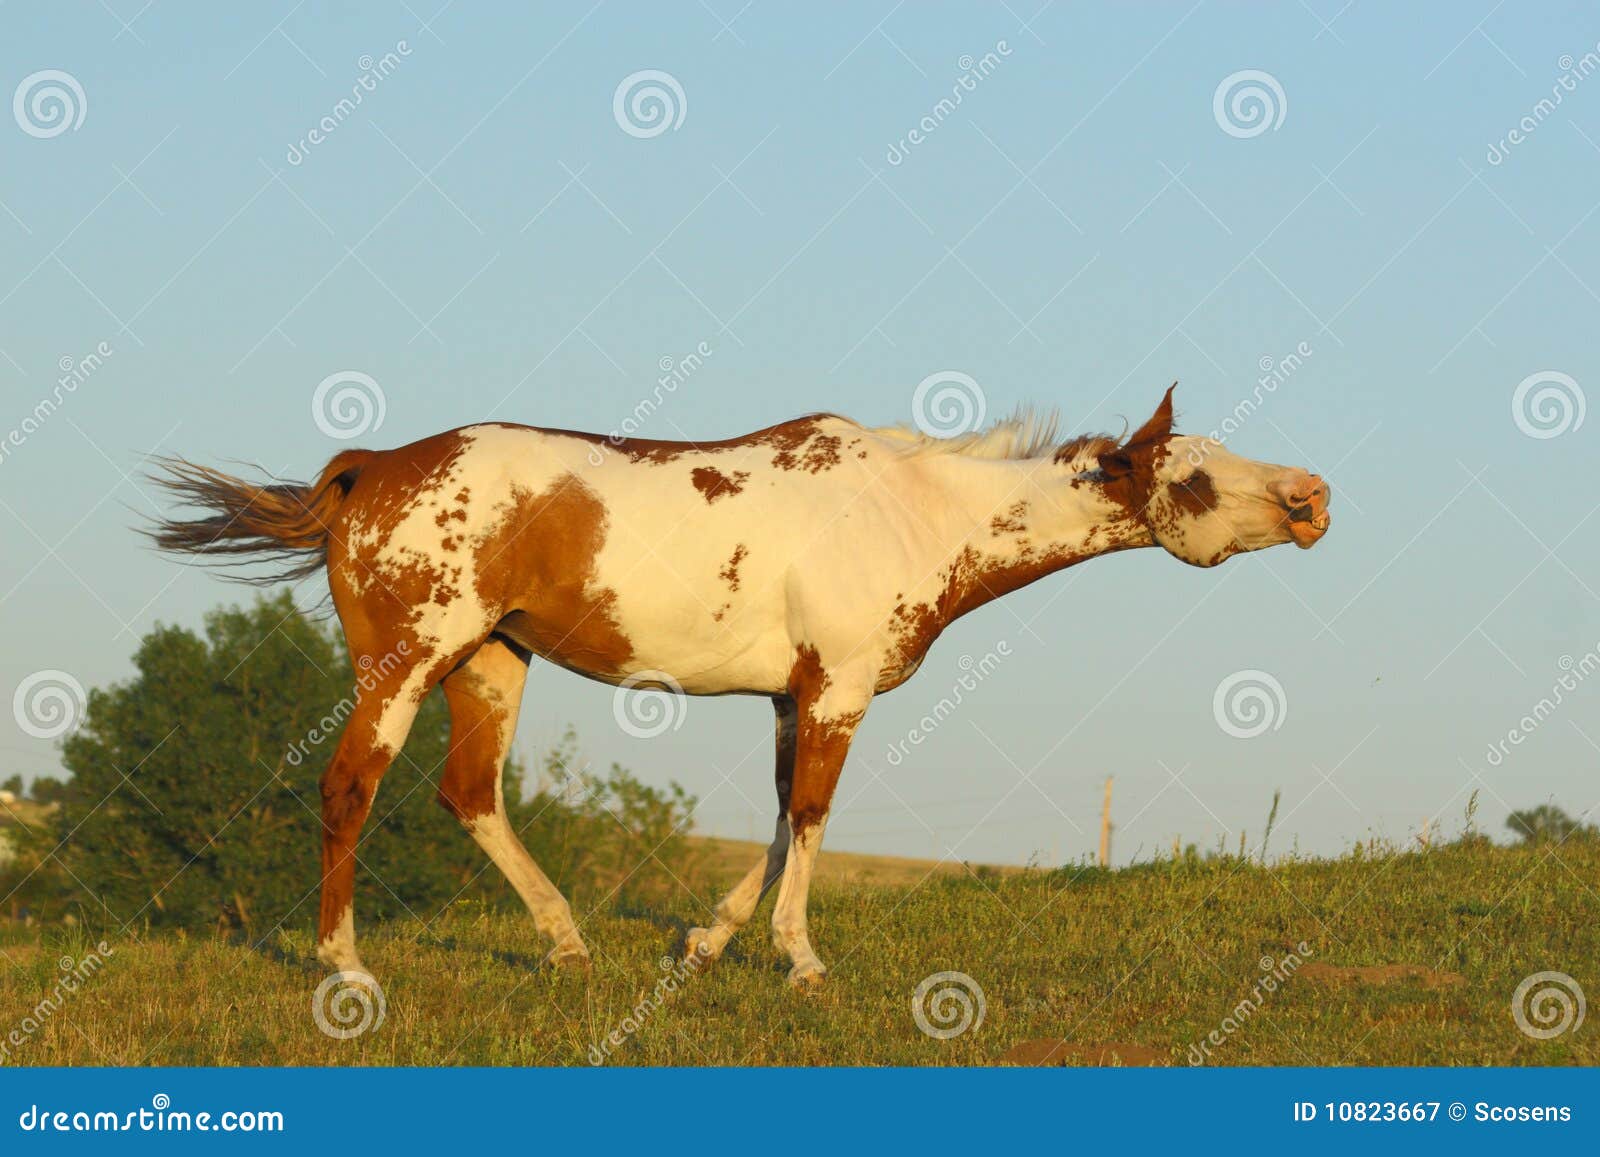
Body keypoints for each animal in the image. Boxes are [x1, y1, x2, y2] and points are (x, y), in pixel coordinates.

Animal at [148, 385, 1330, 988]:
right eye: (1196, 476)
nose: (1312, 495)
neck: (913, 508)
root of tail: (371, 469)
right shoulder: (838, 690)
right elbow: (810, 816)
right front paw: (798, 957)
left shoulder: (789, 696)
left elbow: (773, 818)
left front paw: (707, 940)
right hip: (408, 660)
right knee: (351, 786)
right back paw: (344, 968)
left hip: (490, 661)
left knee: (469, 792)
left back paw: (566, 943)